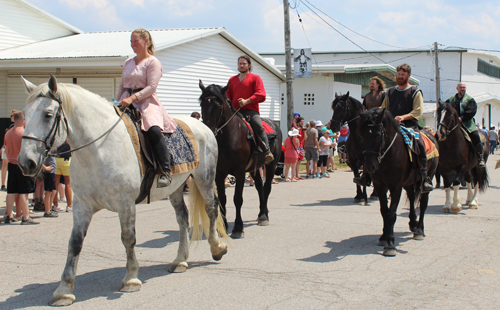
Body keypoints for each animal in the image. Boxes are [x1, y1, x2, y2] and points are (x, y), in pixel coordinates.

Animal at [17, 76, 229, 306]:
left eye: (48, 114)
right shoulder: (82, 205)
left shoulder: (125, 203)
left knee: (211, 208)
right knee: (182, 218)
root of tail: (203, 126)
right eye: (24, 114)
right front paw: (63, 290)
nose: (25, 163)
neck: (99, 149)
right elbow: (74, 242)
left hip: (204, 177)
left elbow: (128, 237)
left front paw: (131, 279)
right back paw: (180, 260)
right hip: (176, 187)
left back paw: (217, 248)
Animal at [198, 80, 284, 237]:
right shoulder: (219, 173)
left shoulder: (239, 172)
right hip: (254, 168)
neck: (228, 137)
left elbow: (237, 199)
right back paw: (261, 214)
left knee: (267, 187)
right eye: (202, 104)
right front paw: (224, 227)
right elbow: (222, 199)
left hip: (271, 165)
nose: (208, 130)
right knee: (259, 187)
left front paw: (238, 227)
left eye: (218, 105)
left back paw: (264, 216)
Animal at [360, 109, 438, 256]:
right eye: (362, 134)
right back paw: (413, 223)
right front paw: (384, 237)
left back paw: (419, 230)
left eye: (378, 135)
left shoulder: (395, 186)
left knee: (423, 203)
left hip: (427, 177)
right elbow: (384, 211)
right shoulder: (379, 186)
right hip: (408, 182)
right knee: (412, 198)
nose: (370, 166)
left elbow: (391, 214)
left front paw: (390, 244)